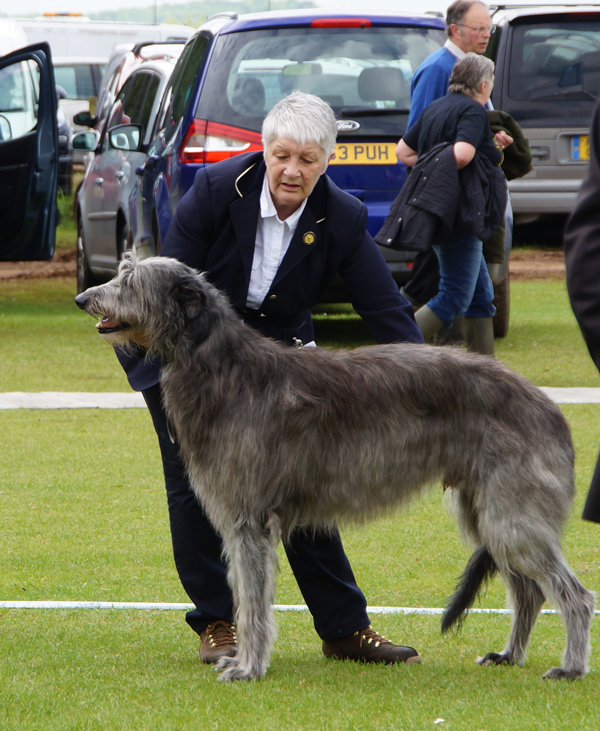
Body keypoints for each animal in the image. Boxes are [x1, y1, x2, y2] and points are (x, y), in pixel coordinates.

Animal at [76, 256, 596, 680]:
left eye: (130, 281)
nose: (83, 298)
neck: (224, 368)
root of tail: (549, 408)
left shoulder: (249, 521)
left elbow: (252, 604)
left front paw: (248, 668)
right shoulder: (246, 521)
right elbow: (247, 598)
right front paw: (243, 660)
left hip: (512, 513)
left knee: (573, 594)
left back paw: (570, 667)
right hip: (486, 512)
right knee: (529, 593)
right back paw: (509, 656)